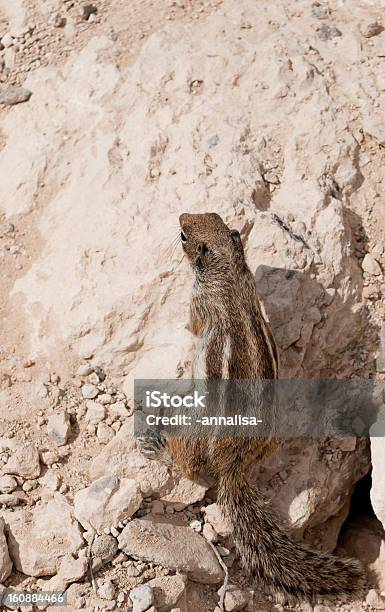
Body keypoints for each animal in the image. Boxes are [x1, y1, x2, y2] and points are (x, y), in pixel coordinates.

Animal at [145, 213, 364, 600]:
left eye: (185, 234)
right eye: (213, 216)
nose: (182, 215)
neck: (229, 271)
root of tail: (235, 463)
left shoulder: (198, 303)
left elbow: (191, 325)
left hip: (189, 428)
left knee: (188, 466)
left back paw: (159, 448)